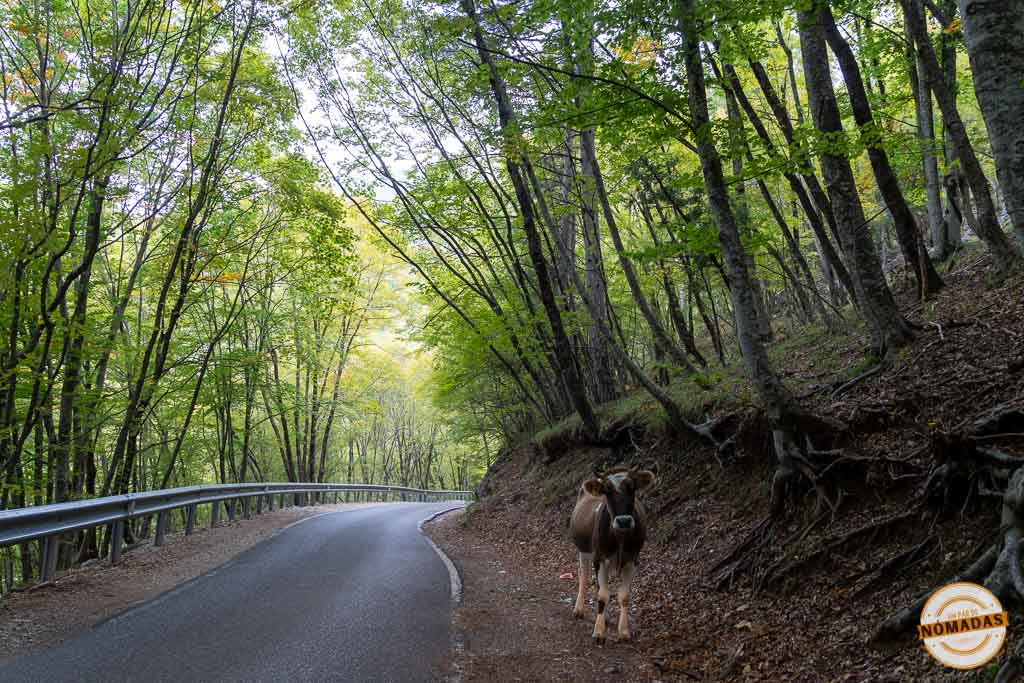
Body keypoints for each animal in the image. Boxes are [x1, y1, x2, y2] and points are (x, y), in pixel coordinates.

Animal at [569, 465, 656, 644]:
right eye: (607, 490)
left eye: (632, 487)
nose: (623, 521)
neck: (620, 536)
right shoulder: (600, 557)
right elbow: (602, 595)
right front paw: (599, 631)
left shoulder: (632, 559)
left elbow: (624, 596)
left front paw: (624, 631)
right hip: (584, 551)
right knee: (584, 577)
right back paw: (579, 609)